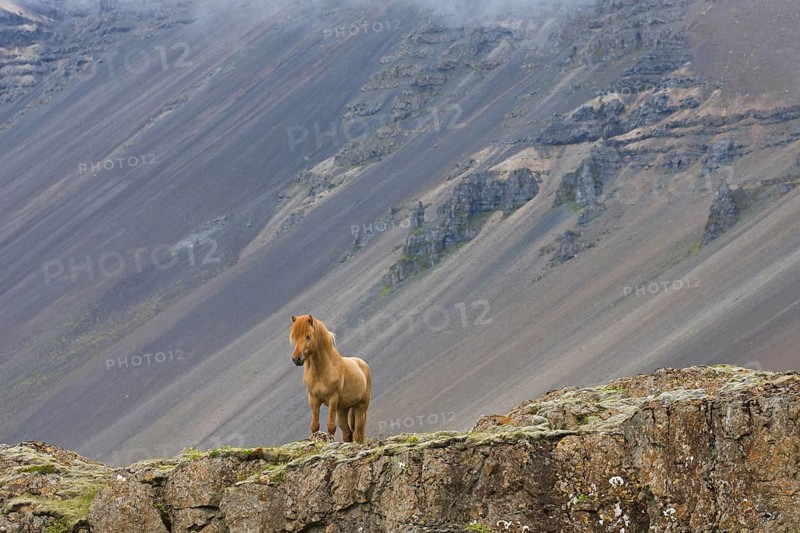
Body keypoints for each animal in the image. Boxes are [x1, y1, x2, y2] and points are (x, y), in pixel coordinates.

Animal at [290, 314, 372, 443]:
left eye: (308, 336)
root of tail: (362, 363)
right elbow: (314, 426)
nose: (296, 359)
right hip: (343, 409)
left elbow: (331, 427)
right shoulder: (313, 399)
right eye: (295, 337)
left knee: (357, 433)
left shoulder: (332, 398)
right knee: (348, 433)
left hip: (360, 408)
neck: (322, 370)